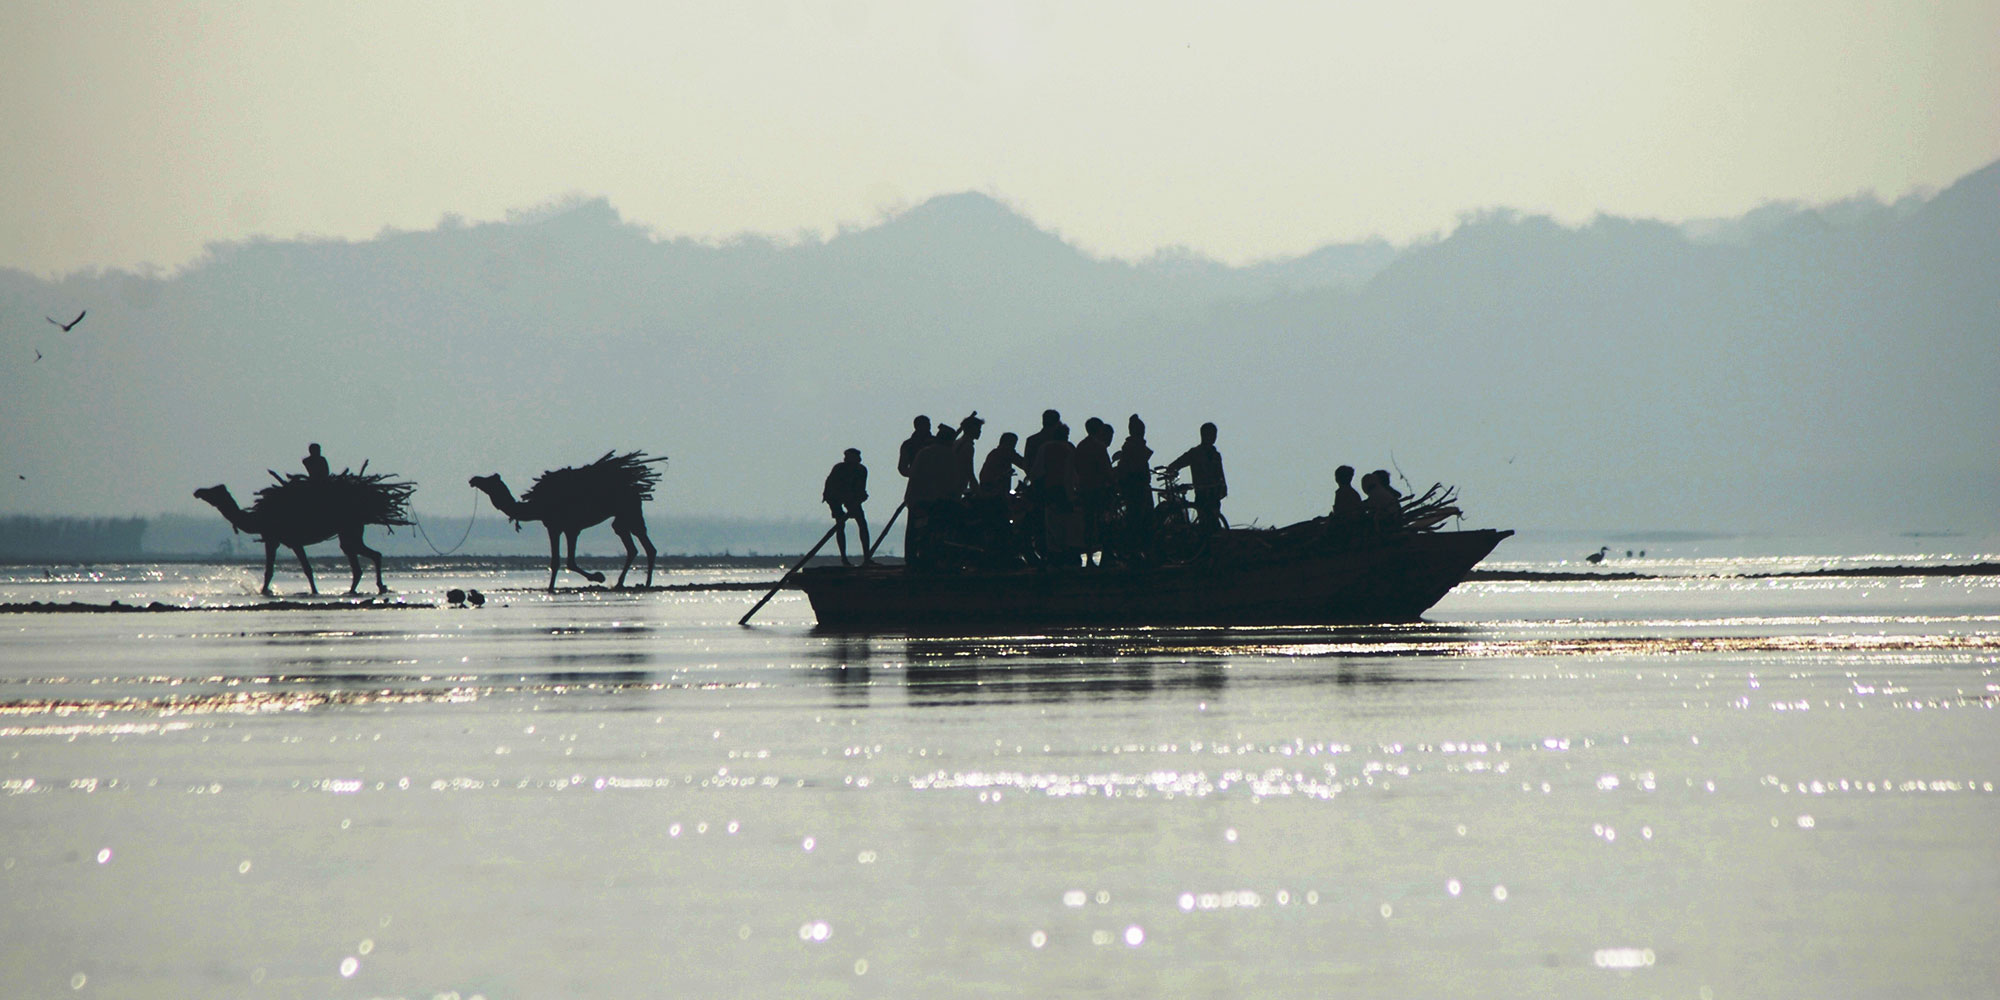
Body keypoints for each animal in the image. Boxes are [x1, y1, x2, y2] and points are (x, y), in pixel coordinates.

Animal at [195, 482, 402, 596]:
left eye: (214, 491)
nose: (198, 492)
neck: (257, 520)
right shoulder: (276, 540)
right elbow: (275, 570)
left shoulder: (284, 540)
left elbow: (301, 569)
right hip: (349, 534)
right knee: (361, 560)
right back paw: (363, 589)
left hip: (350, 531)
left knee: (370, 556)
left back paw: (378, 587)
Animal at [466, 454, 664, 592]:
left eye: (489, 480)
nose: (473, 479)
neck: (536, 506)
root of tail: (635, 488)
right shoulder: (554, 527)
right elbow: (557, 561)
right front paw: (551, 587)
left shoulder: (570, 528)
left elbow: (569, 562)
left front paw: (598, 577)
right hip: (624, 516)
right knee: (635, 545)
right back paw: (629, 583)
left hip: (629, 510)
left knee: (642, 544)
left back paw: (643, 583)